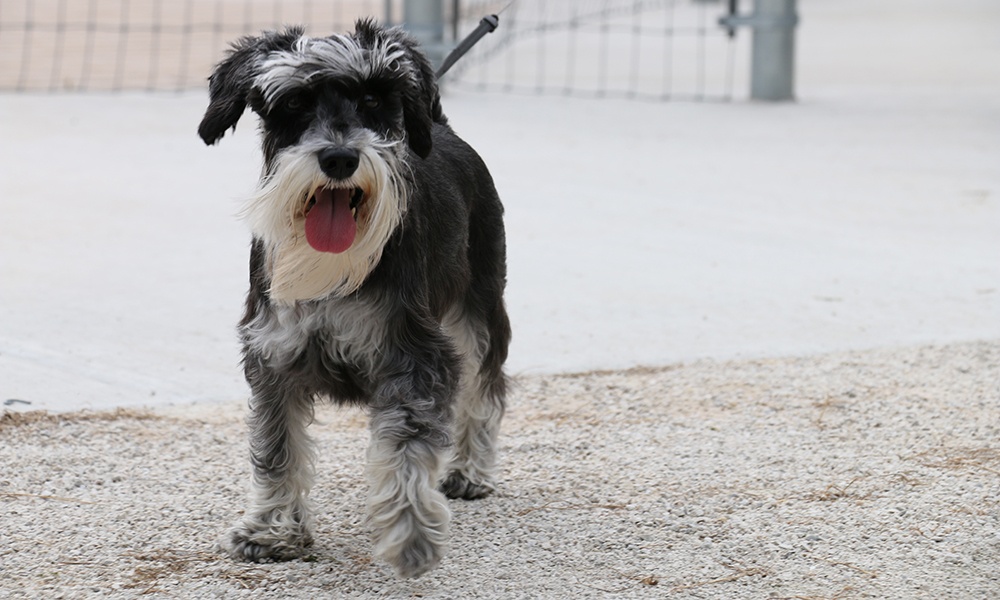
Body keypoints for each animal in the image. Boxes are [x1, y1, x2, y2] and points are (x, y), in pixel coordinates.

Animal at [196, 21, 512, 580]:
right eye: (294, 103)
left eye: (372, 99)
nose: (340, 158)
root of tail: (441, 128)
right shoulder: (273, 358)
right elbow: (276, 449)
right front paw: (271, 531)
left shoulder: (415, 357)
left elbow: (407, 449)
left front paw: (411, 534)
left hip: (477, 314)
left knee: (484, 389)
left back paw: (470, 470)